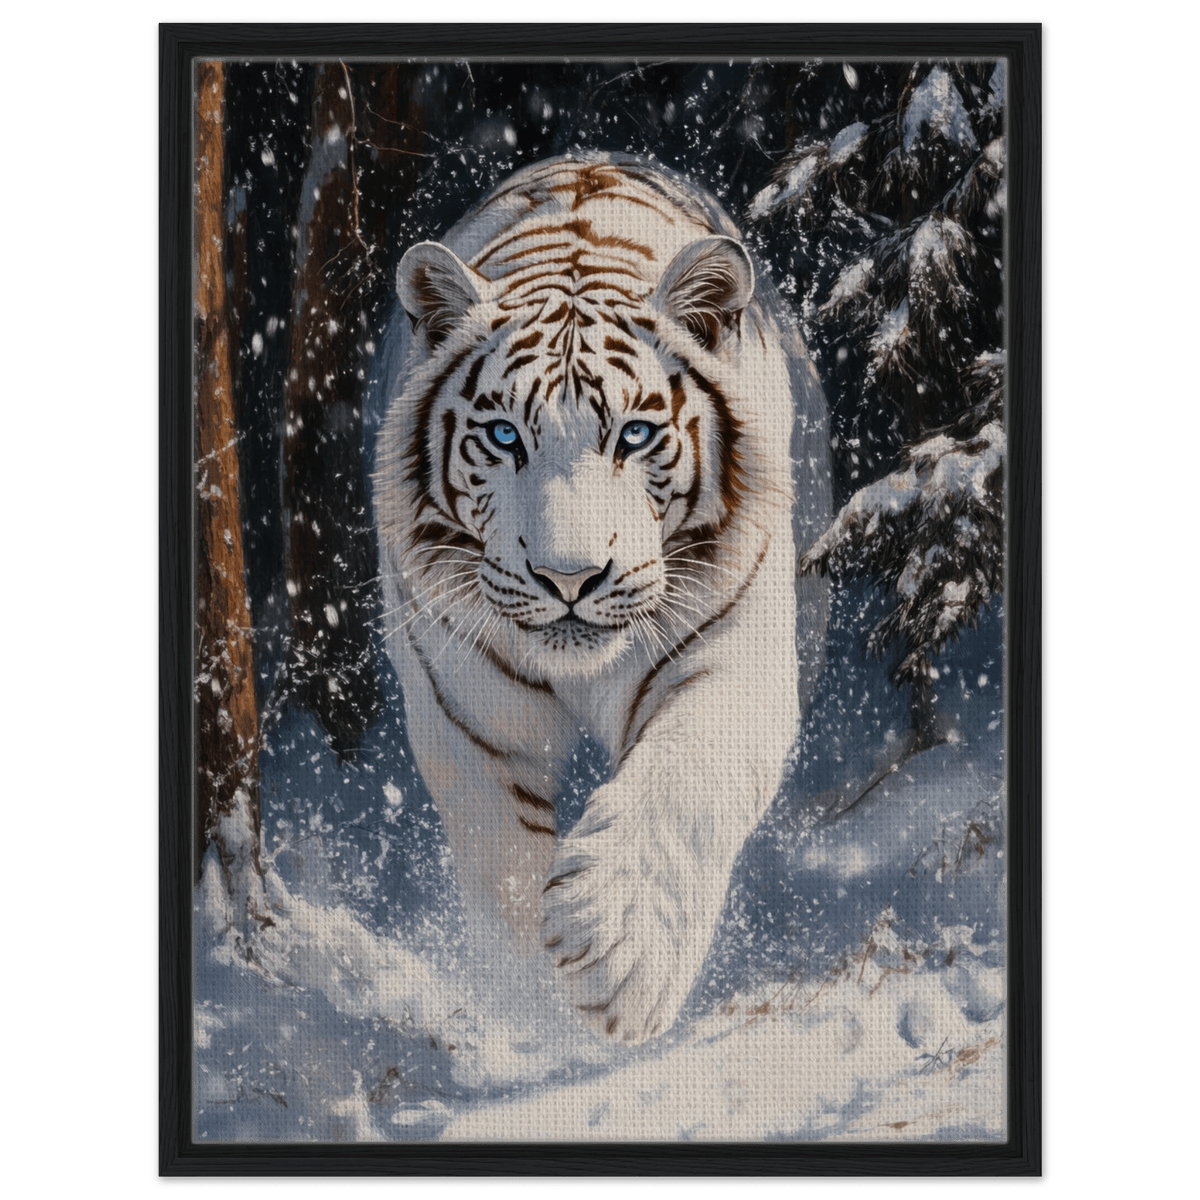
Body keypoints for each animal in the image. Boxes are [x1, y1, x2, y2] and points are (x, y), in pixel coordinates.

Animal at [374, 153, 830, 1044]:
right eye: (504, 437)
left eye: (636, 435)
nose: (569, 577)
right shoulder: (466, 712)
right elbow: (501, 864)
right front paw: (541, 1011)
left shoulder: (732, 662)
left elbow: (683, 783)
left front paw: (618, 953)